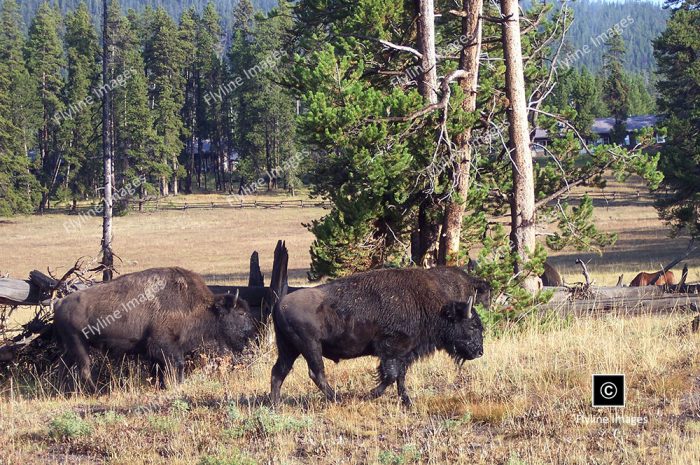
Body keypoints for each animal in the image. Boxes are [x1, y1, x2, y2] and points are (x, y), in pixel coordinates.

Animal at [53, 264, 258, 388]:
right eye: (241, 313)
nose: (252, 335)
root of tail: (59, 302)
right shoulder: (165, 345)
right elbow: (177, 364)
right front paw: (177, 384)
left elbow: (159, 369)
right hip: (79, 344)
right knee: (84, 369)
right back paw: (94, 390)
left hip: (72, 346)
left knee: (66, 366)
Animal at [270, 264, 490, 406]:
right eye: (472, 326)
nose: (479, 351)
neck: (429, 307)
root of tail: (280, 304)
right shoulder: (391, 350)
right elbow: (391, 375)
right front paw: (370, 395)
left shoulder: (404, 353)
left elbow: (400, 376)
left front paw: (407, 402)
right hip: (310, 346)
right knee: (316, 373)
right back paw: (337, 399)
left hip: (289, 348)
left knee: (279, 371)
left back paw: (275, 405)